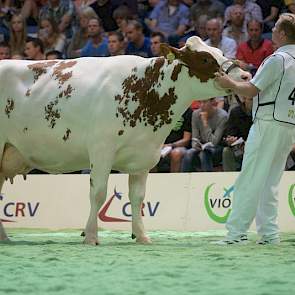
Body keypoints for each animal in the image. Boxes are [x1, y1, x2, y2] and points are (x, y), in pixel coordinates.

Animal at [0, 37, 250, 245]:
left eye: (219, 51)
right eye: (205, 58)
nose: (245, 76)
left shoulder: (143, 156)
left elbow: (137, 198)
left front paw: (141, 236)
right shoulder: (101, 149)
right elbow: (98, 193)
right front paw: (91, 236)